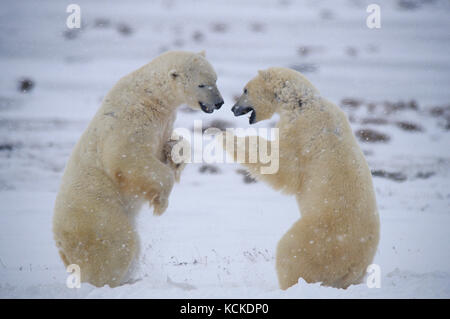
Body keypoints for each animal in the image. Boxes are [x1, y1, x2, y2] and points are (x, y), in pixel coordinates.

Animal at [53, 50, 222, 288]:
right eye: (202, 84)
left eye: (215, 80)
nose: (219, 102)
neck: (150, 94)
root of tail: (59, 242)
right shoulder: (131, 118)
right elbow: (126, 157)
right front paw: (160, 203)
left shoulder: (163, 121)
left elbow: (167, 147)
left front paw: (176, 154)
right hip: (97, 214)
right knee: (117, 246)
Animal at [227, 67, 378, 290]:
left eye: (245, 89)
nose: (232, 108)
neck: (302, 103)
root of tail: (352, 266)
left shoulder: (300, 131)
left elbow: (282, 166)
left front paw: (219, 133)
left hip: (320, 235)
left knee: (291, 251)